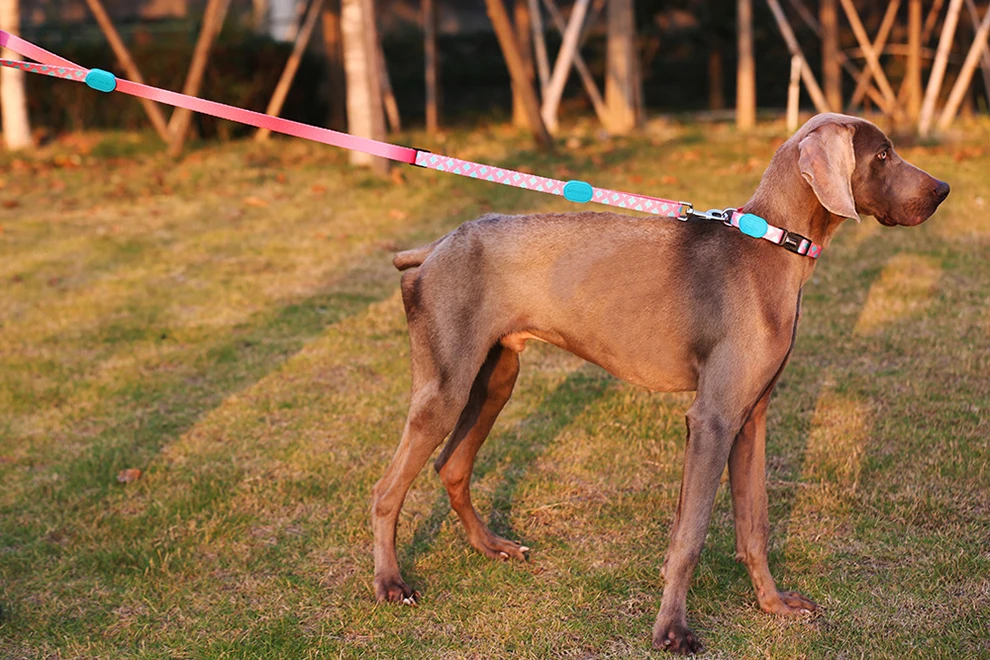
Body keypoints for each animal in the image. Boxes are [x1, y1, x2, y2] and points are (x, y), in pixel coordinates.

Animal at [372, 114, 952, 656]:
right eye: (882, 154)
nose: (943, 190)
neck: (773, 246)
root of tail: (432, 248)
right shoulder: (713, 418)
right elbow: (690, 535)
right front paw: (672, 630)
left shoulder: (751, 417)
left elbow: (755, 526)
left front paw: (772, 605)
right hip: (446, 387)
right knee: (386, 489)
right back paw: (390, 583)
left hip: (496, 379)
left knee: (452, 465)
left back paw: (492, 547)